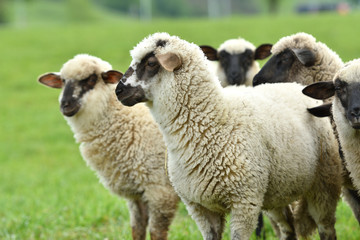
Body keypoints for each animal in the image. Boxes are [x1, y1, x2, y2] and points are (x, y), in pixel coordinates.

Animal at [38, 54, 180, 240]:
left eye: (91, 79)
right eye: (63, 81)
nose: (65, 104)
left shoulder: (160, 191)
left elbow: (157, 233)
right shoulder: (137, 194)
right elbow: (138, 229)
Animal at [115, 32, 344, 240]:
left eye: (151, 63)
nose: (119, 91)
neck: (212, 122)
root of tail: (297, 86)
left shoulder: (244, 203)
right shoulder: (200, 207)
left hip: (323, 185)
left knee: (326, 228)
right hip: (276, 191)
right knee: (288, 228)